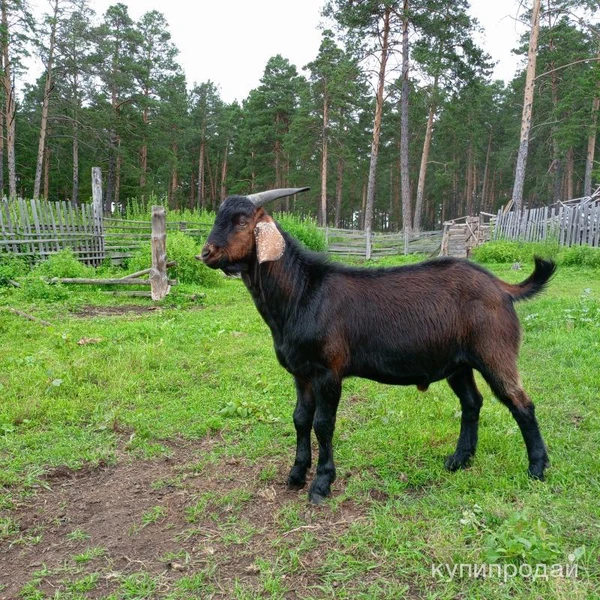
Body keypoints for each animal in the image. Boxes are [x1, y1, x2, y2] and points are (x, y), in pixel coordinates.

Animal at [199, 188, 556, 502]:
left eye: (242, 221)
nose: (206, 252)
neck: (302, 293)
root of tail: (501, 287)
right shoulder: (301, 373)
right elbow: (300, 419)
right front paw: (296, 475)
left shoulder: (329, 372)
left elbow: (323, 424)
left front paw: (322, 484)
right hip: (458, 362)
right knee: (472, 403)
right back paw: (459, 460)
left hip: (494, 350)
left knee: (521, 403)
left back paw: (537, 469)